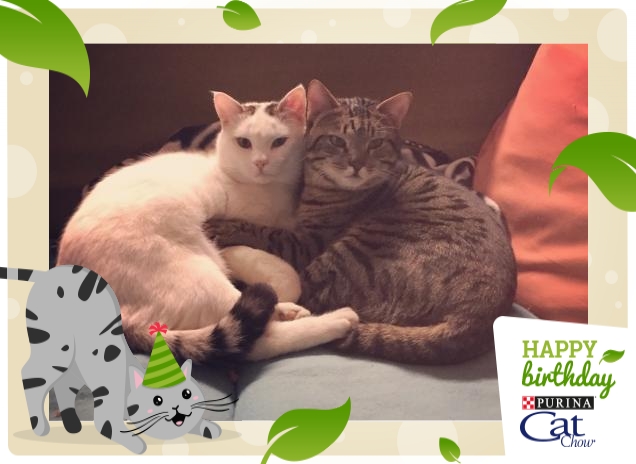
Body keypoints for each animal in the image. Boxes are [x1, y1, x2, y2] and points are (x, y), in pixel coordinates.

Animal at [56, 84, 359, 367]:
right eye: (244, 143)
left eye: (279, 142)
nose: (260, 162)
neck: (272, 190)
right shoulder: (229, 237)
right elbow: (287, 276)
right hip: (199, 277)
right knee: (259, 341)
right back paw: (335, 319)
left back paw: (288, 311)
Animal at [206, 79, 517, 365]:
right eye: (337, 141)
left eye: (376, 143)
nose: (356, 164)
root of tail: (478, 318)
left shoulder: (305, 243)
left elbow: (262, 231)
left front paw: (223, 225)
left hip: (352, 252)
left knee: (303, 294)